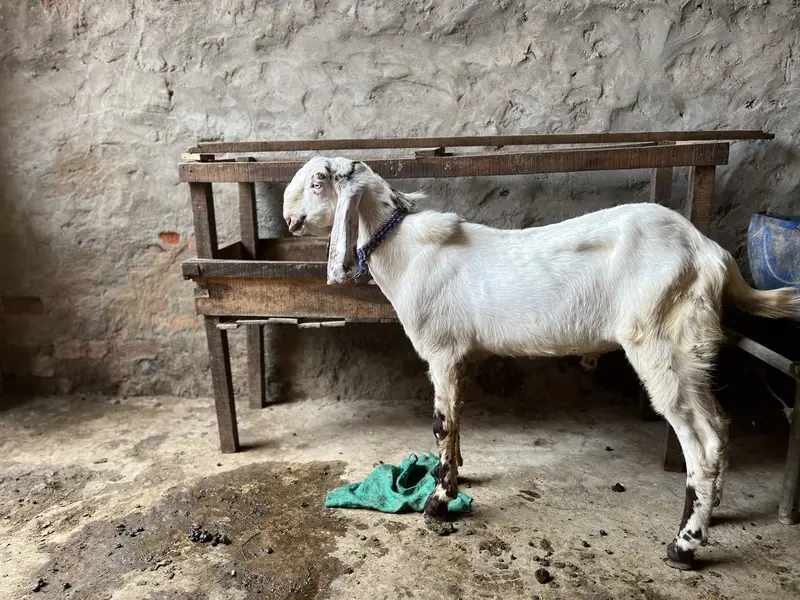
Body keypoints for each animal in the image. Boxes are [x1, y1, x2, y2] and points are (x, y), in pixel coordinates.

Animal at [283, 156, 800, 570]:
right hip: (690, 351)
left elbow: (441, 424)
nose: (289, 219)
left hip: (663, 343)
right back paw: (714, 511)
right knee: (722, 427)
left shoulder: (443, 350)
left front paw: (437, 502)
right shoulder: (462, 356)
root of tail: (712, 255)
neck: (406, 253)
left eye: (317, 182)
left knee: (704, 441)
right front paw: (453, 478)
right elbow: (457, 423)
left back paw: (685, 546)